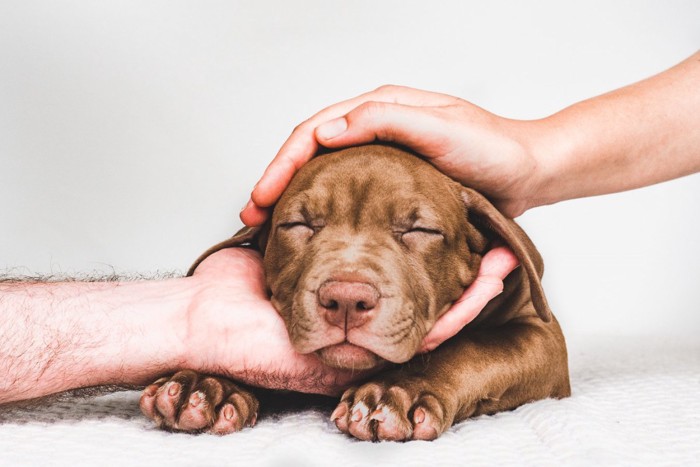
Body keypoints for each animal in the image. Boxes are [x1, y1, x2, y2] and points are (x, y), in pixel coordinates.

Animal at [141, 145, 568, 442]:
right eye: (298, 224)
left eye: (420, 230)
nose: (346, 300)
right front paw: (206, 384)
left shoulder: (541, 335)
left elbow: (473, 349)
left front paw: (397, 392)